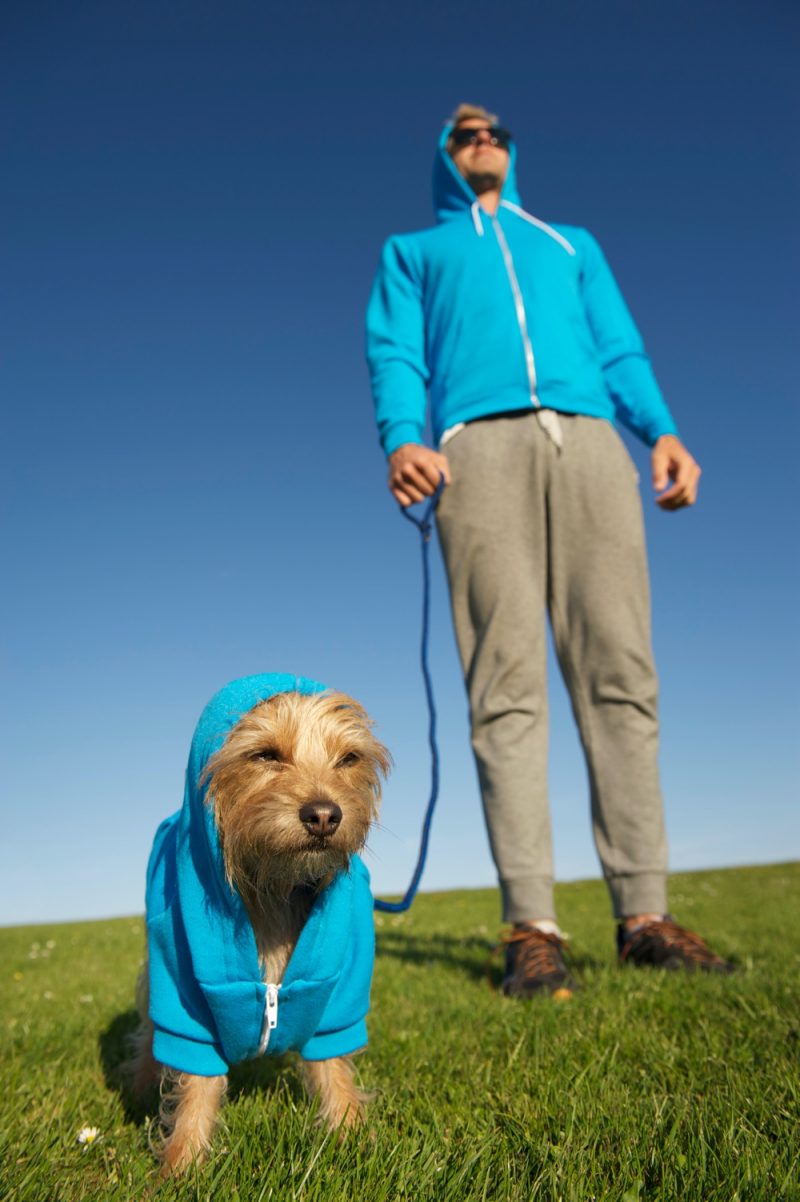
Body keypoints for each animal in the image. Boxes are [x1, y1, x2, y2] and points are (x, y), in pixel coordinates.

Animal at [130, 677, 389, 1173]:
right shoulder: (186, 1000)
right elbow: (196, 1083)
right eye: (266, 755)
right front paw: (182, 1164)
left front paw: (350, 1134)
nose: (324, 814)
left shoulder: (338, 997)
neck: (275, 886)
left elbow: (333, 1066)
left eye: (349, 758)